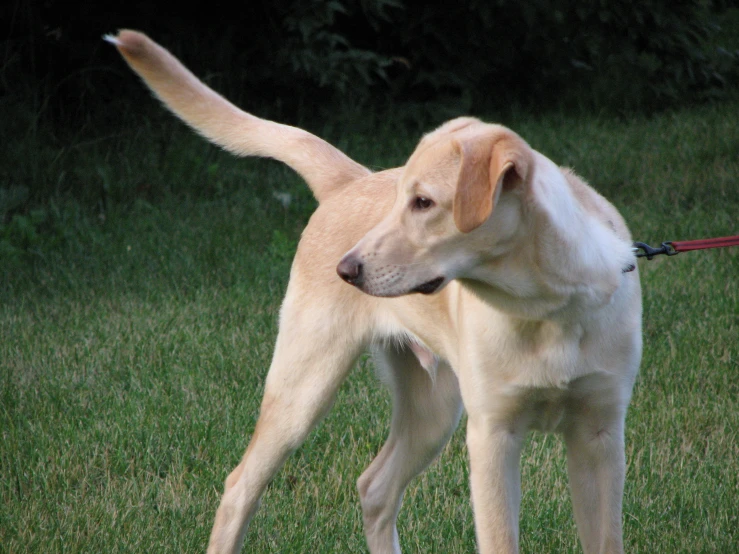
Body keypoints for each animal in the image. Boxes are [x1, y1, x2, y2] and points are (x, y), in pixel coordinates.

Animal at [107, 31, 644, 552]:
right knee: (242, 486)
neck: (548, 309)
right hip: (304, 389)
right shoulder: (493, 436)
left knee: (375, 487)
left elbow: (606, 539)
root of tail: (349, 181)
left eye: (423, 202)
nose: (345, 269)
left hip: (432, 411)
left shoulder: (600, 436)